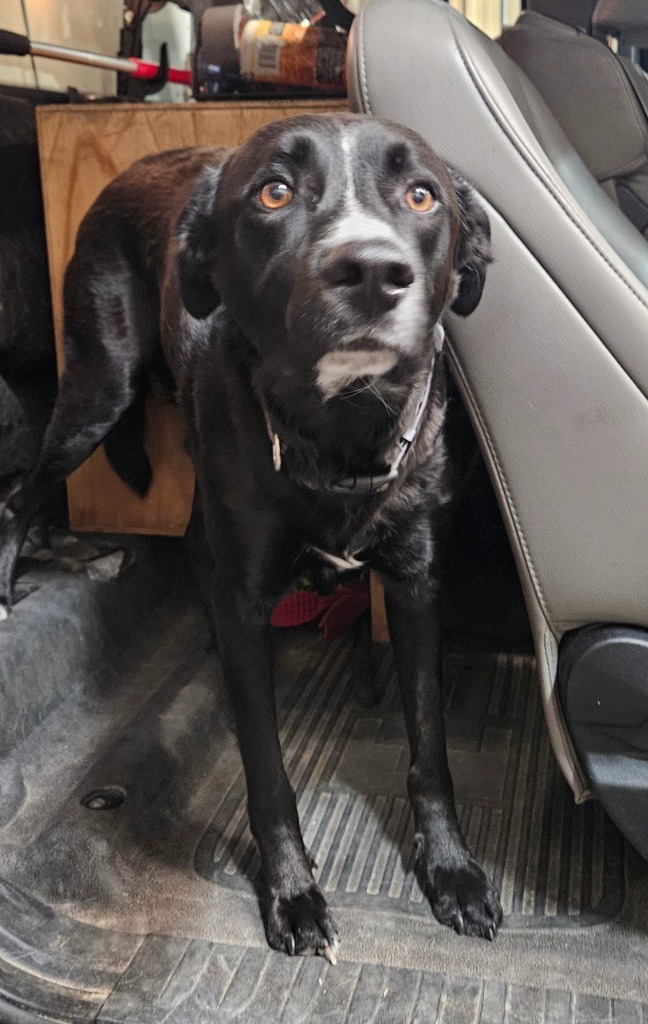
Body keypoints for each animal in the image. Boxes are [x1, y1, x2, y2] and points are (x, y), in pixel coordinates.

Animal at [0, 114, 499, 958]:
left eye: (421, 195)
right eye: (274, 192)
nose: (373, 271)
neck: (337, 430)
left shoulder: (413, 584)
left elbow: (430, 749)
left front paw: (451, 870)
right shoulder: (243, 602)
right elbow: (267, 770)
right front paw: (292, 893)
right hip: (101, 386)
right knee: (20, 493)